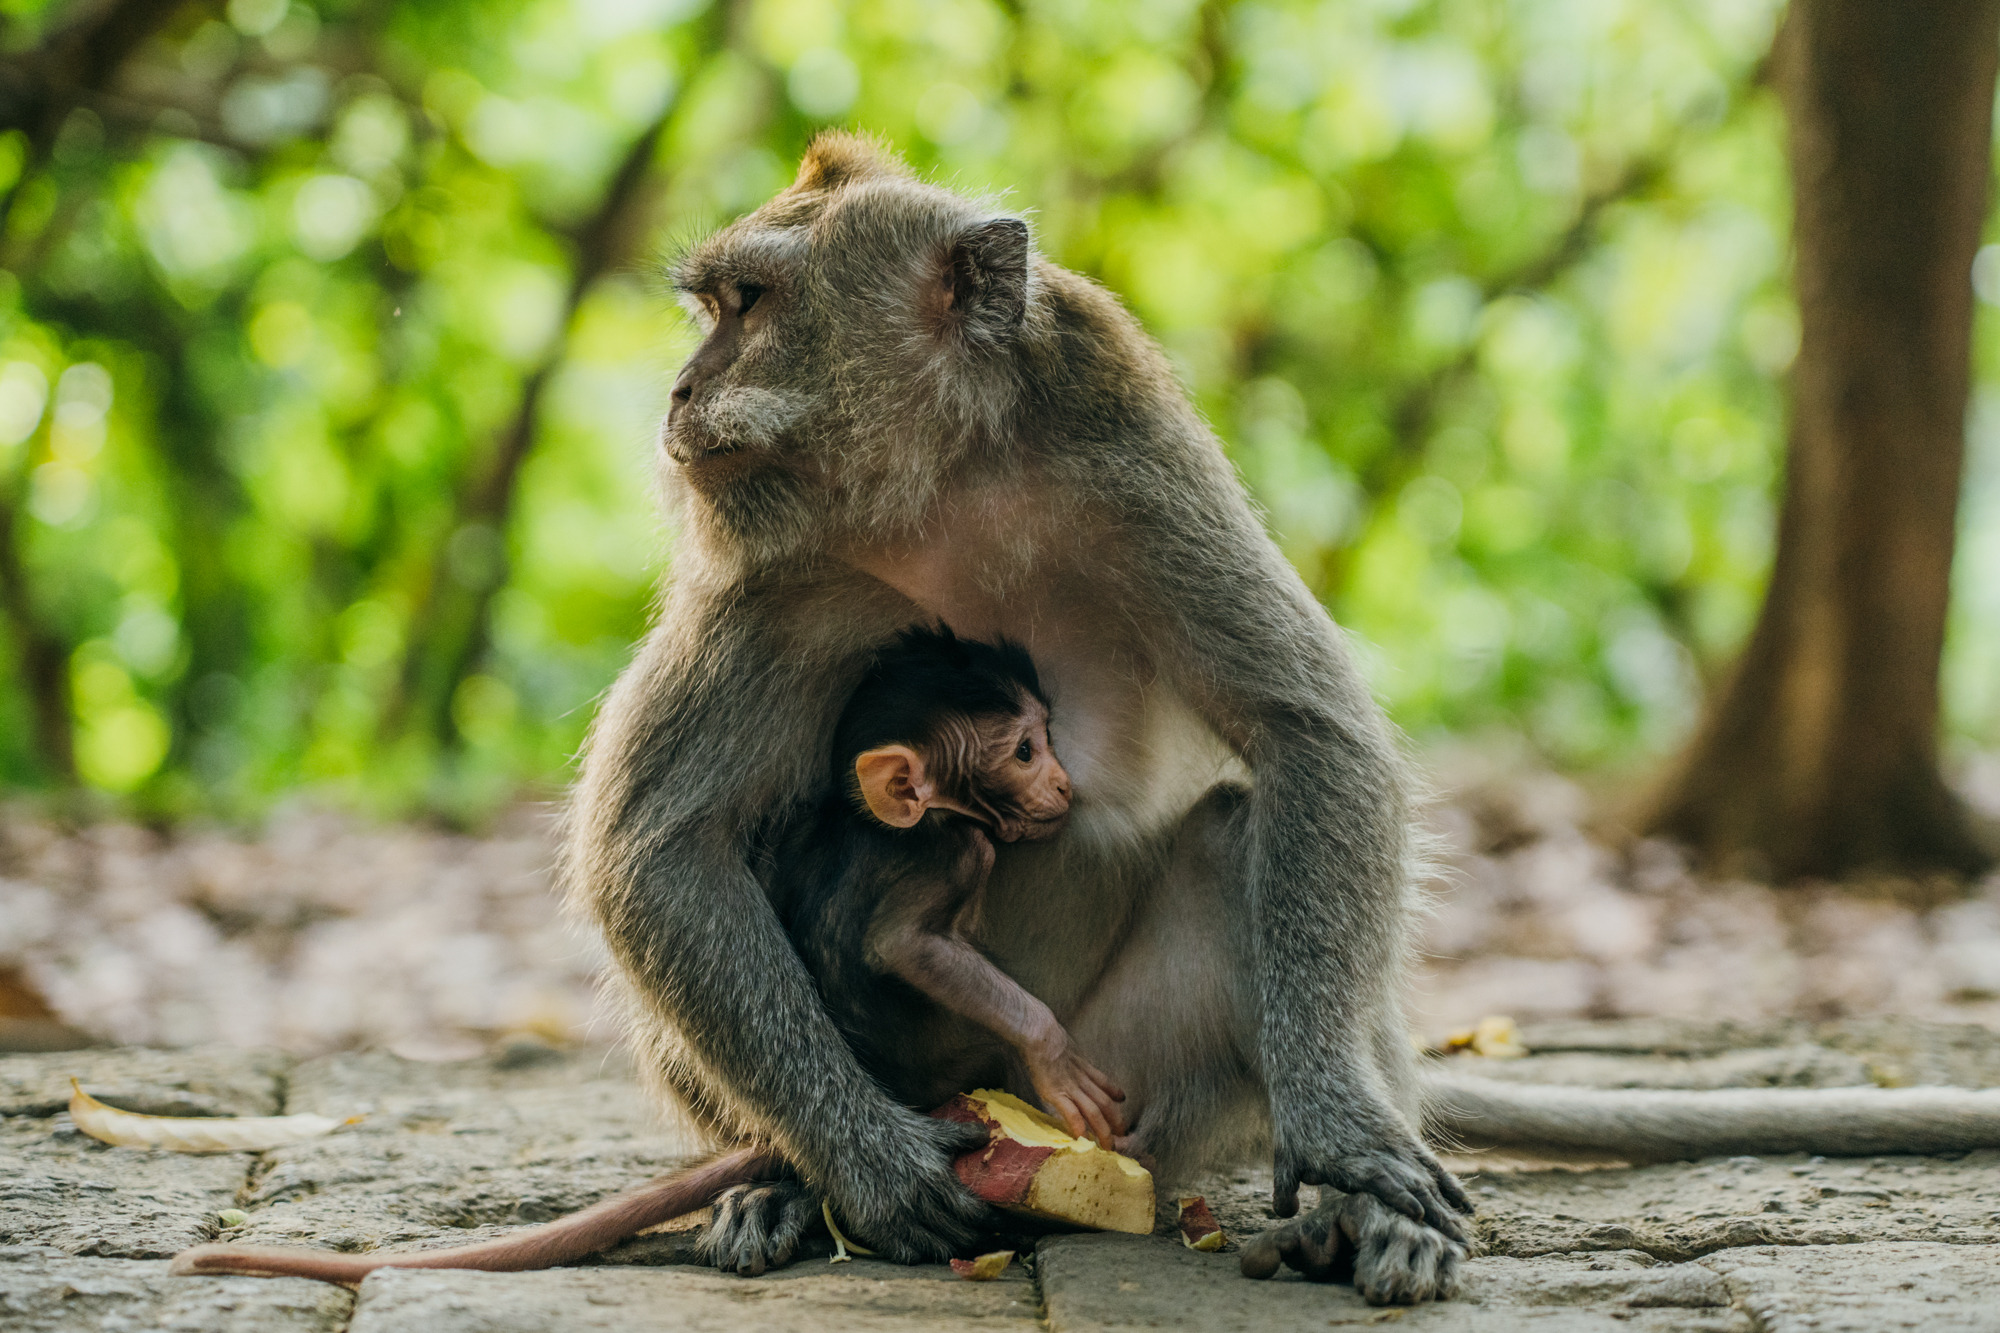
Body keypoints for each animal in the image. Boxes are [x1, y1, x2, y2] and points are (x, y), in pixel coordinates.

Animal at [776, 624, 1128, 1144]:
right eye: (1025, 752)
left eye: (1046, 737)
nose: (1064, 783)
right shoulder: (961, 854)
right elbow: (904, 944)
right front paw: (1052, 1050)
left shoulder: (803, 833)